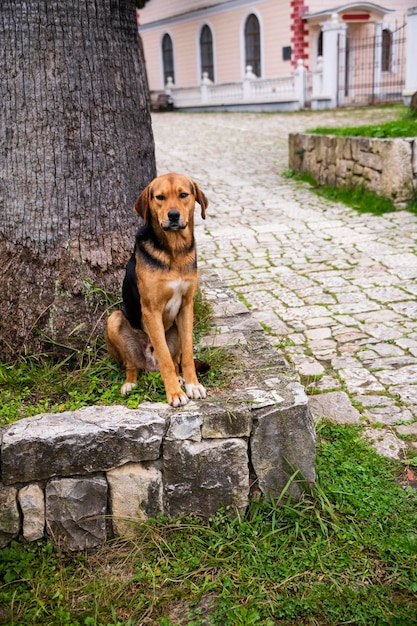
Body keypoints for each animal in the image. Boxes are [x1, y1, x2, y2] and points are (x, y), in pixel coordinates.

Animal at [104, 172, 208, 404]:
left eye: (183, 195)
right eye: (160, 197)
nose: (173, 215)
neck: (174, 250)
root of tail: (149, 364)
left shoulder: (186, 306)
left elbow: (187, 355)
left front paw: (192, 385)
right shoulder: (151, 310)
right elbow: (165, 359)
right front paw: (175, 394)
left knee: (176, 359)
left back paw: (179, 378)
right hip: (114, 319)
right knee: (132, 366)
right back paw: (130, 384)